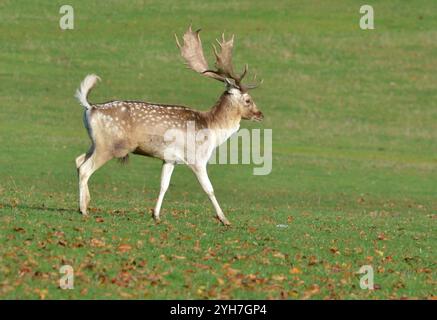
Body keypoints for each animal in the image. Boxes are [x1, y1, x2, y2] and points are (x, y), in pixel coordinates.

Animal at [74, 26, 262, 225]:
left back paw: (85, 203)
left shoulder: (170, 159)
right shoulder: (197, 158)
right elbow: (209, 188)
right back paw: (84, 209)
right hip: (109, 145)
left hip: (95, 142)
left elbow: (164, 185)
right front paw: (224, 219)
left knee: (78, 161)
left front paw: (155, 214)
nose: (260, 114)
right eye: (248, 100)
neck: (212, 128)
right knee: (85, 169)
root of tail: (90, 107)